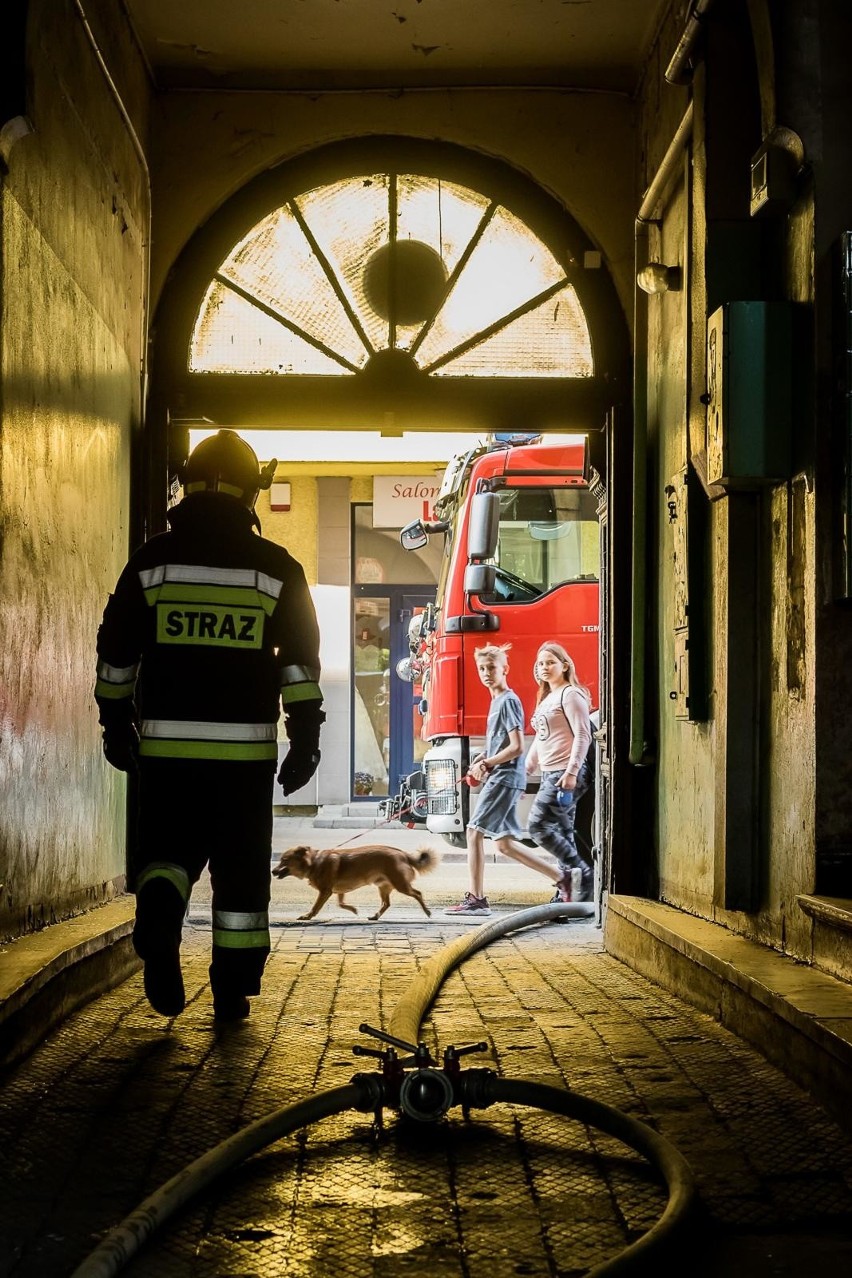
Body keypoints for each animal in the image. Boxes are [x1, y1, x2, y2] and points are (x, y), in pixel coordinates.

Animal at [273, 838, 444, 920]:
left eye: (284, 860)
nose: (272, 871)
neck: (314, 862)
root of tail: (403, 854)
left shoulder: (325, 891)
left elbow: (316, 907)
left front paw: (307, 916)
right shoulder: (338, 890)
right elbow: (341, 903)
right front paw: (353, 910)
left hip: (401, 885)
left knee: (417, 893)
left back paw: (427, 911)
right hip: (383, 887)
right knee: (386, 904)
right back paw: (375, 916)